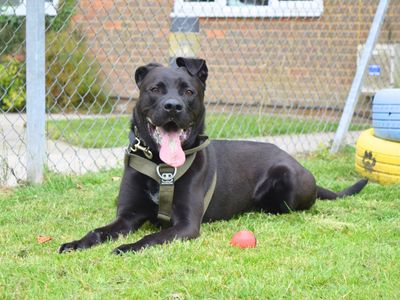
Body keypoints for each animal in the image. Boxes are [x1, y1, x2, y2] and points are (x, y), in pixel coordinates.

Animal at [57, 57, 368, 254]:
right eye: (155, 89)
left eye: (188, 91)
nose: (173, 106)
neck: (162, 167)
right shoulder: (127, 216)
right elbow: (98, 230)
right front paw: (76, 243)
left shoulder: (186, 225)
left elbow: (150, 237)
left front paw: (126, 247)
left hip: (288, 181)